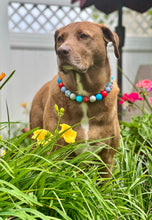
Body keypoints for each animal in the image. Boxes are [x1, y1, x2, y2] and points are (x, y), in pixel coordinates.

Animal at [30, 21, 120, 178]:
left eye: (83, 36)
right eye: (60, 38)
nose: (61, 51)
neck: (85, 96)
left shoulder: (107, 158)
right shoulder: (56, 153)